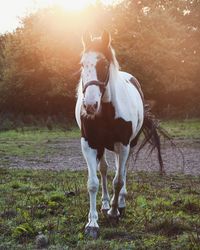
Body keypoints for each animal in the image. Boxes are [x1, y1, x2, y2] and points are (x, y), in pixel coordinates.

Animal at [76, 29, 165, 238]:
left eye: (103, 64)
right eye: (82, 64)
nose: (89, 106)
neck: (107, 112)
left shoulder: (123, 144)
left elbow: (118, 180)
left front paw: (115, 212)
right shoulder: (88, 144)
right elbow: (93, 182)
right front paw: (92, 223)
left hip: (127, 145)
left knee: (121, 171)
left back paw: (119, 204)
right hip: (102, 146)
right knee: (105, 169)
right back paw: (105, 203)